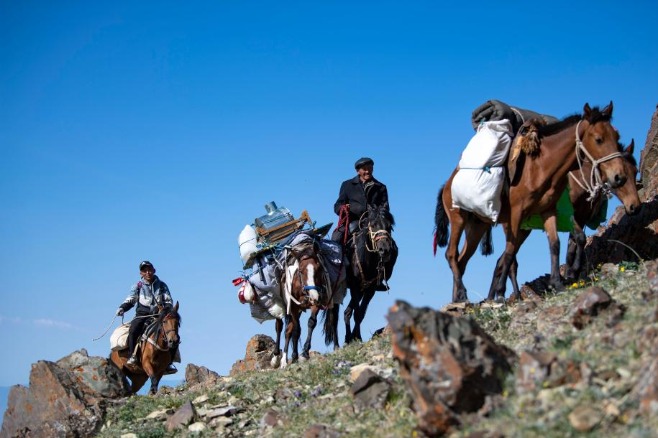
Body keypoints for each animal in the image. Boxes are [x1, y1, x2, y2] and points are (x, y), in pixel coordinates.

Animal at [436, 102, 632, 302]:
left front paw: (558, 283)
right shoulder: (517, 213)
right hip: (458, 218)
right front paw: (501, 292)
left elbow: (555, 244)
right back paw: (465, 294)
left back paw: (459, 298)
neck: (540, 167)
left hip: (477, 226)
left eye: (617, 136)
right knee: (451, 254)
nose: (619, 177)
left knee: (462, 260)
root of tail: (447, 184)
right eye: (599, 139)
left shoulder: (549, 211)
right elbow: (510, 251)